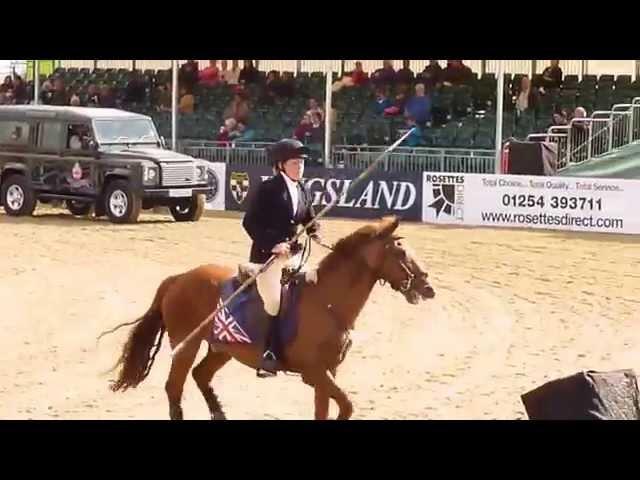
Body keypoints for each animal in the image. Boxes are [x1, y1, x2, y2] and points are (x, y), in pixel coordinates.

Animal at [104, 216, 436, 418]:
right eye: (401, 253)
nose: (428, 287)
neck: (327, 301)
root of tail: (178, 278)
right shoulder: (314, 372)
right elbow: (346, 406)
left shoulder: (326, 373)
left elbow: (325, 409)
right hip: (187, 345)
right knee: (175, 387)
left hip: (223, 347)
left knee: (201, 376)